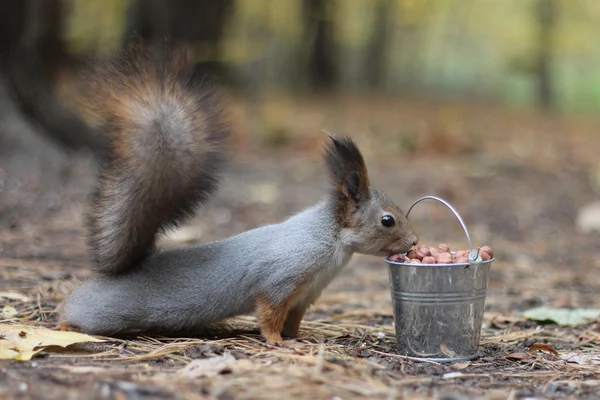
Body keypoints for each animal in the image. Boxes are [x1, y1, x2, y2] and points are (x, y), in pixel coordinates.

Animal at [59, 41, 418, 346]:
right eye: (387, 220)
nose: (414, 242)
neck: (332, 241)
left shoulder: (304, 297)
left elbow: (293, 320)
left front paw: (298, 339)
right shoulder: (281, 279)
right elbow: (269, 313)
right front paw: (276, 342)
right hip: (107, 313)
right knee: (76, 313)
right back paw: (65, 325)